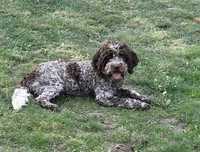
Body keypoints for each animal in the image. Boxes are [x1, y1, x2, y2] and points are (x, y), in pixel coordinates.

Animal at [11, 40, 151, 110]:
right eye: (108, 57)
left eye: (122, 55)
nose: (116, 66)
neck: (110, 79)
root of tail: (31, 73)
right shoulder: (103, 97)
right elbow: (124, 100)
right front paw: (140, 104)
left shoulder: (117, 88)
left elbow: (130, 91)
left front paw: (144, 97)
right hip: (55, 85)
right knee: (40, 99)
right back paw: (51, 106)